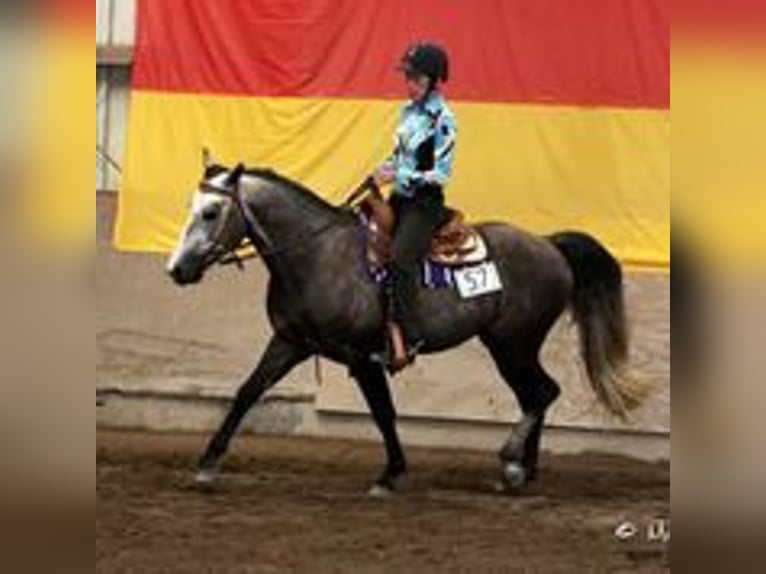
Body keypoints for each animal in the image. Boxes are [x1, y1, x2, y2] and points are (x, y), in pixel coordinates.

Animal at [168, 155, 648, 498]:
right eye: (191, 207)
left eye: (211, 212)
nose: (177, 269)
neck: (318, 255)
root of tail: (549, 245)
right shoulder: (290, 342)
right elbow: (247, 392)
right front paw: (208, 464)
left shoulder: (362, 356)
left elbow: (384, 412)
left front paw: (391, 474)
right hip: (510, 347)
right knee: (535, 395)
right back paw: (522, 471)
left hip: (514, 343)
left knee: (543, 393)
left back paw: (512, 462)